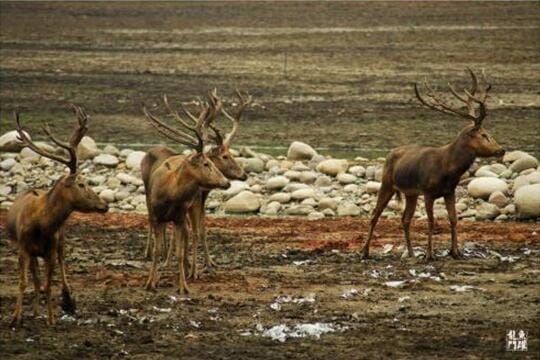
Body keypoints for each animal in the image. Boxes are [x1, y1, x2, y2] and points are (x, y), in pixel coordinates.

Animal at [6, 106, 108, 326]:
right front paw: (16, 317)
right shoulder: (23, 247)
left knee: (61, 265)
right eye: (81, 184)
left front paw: (51, 318)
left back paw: (68, 300)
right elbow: (24, 282)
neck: (40, 224)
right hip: (32, 251)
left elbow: (48, 283)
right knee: (35, 278)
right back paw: (35, 311)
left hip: (61, 241)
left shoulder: (50, 249)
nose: (105, 205)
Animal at [143, 89, 253, 278]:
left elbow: (200, 230)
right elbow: (192, 232)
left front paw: (208, 264)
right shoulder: (193, 203)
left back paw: (166, 256)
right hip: (147, 193)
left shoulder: (197, 202)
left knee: (167, 227)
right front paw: (192, 269)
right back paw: (151, 254)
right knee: (152, 220)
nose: (244, 174)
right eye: (225, 156)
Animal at [360, 69, 504, 262]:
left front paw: (456, 251)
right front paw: (429, 254)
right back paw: (365, 252)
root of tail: (391, 154)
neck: (448, 170)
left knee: (405, 219)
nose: (501, 149)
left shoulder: (449, 191)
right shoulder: (428, 192)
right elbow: (431, 221)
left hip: (410, 193)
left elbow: (453, 219)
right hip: (387, 183)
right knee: (375, 215)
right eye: (483, 134)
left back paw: (411, 252)